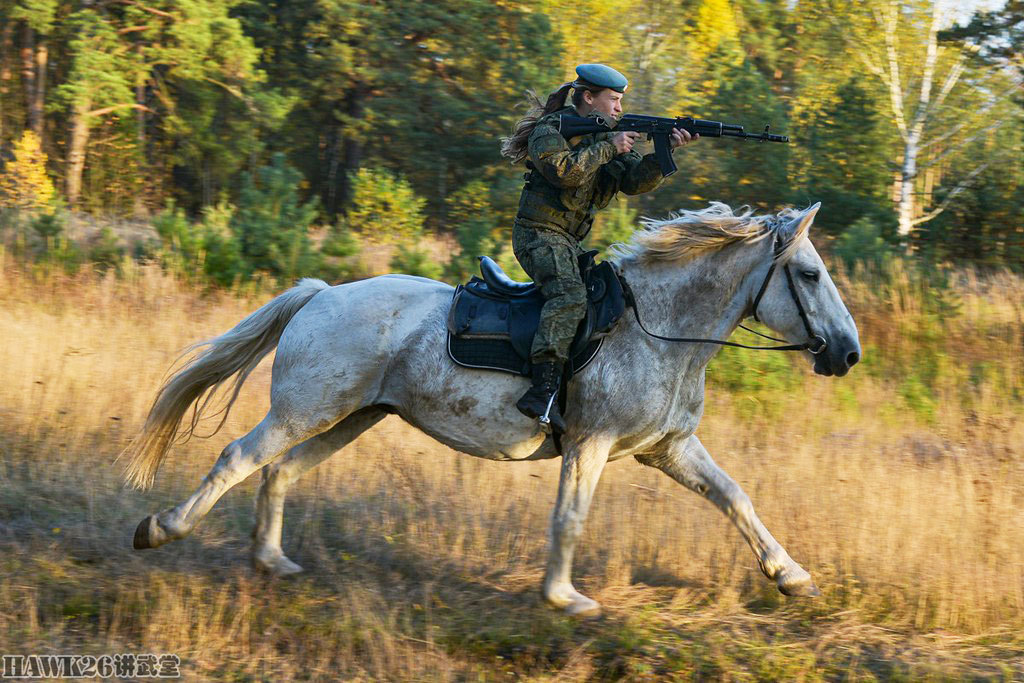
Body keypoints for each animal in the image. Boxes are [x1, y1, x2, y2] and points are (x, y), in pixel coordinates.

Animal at [128, 202, 864, 618]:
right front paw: (565, 598)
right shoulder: (590, 444)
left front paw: (793, 577)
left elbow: (736, 498)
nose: (848, 352)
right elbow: (570, 517)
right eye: (808, 274)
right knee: (238, 458)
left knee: (278, 472)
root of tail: (321, 293)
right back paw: (160, 529)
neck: (657, 328)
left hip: (353, 416)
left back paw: (271, 561)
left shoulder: (668, 447)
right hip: (306, 410)